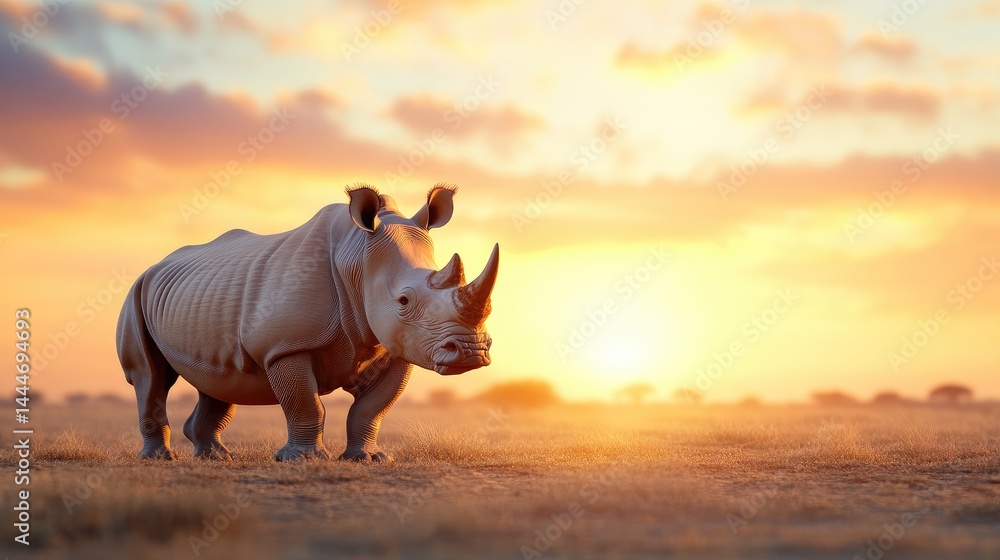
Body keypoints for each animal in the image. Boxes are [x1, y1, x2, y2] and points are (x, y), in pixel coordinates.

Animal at [116, 185, 498, 461]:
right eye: (403, 301)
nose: (471, 352)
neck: (357, 260)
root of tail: (156, 265)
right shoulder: (285, 346)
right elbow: (305, 402)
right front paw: (302, 459)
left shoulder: (396, 347)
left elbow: (372, 408)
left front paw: (368, 459)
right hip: (136, 292)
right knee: (150, 376)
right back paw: (160, 459)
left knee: (219, 380)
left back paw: (216, 457)